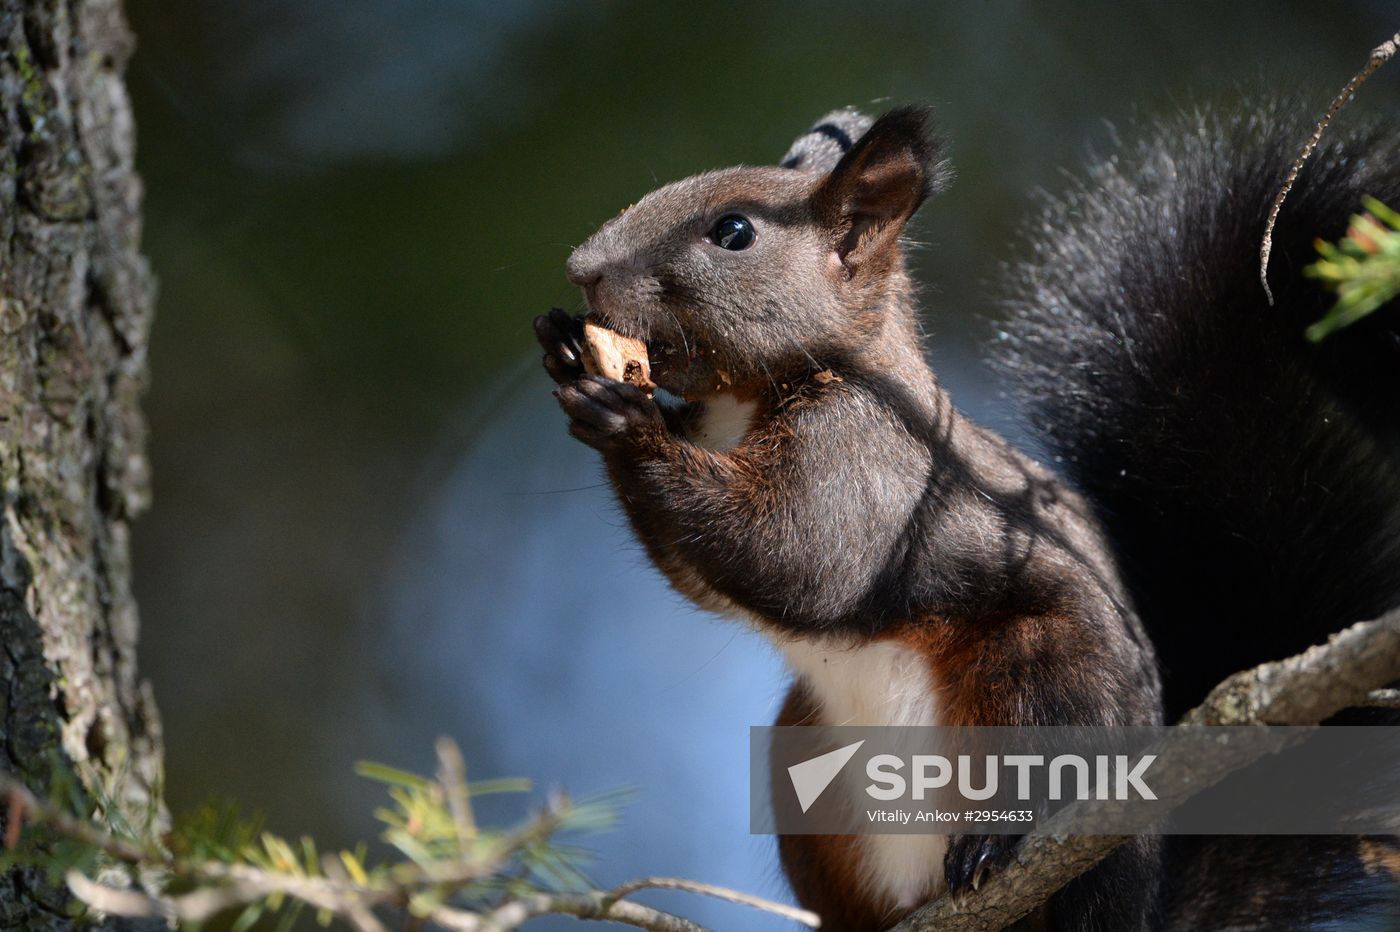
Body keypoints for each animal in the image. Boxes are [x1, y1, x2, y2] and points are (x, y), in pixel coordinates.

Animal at [535, 106, 1162, 931]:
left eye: (734, 232)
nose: (582, 268)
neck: (745, 400)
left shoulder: (860, 457)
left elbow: (796, 558)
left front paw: (628, 424)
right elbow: (706, 571)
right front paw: (568, 351)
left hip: (1050, 684)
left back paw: (995, 847)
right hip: (802, 763)